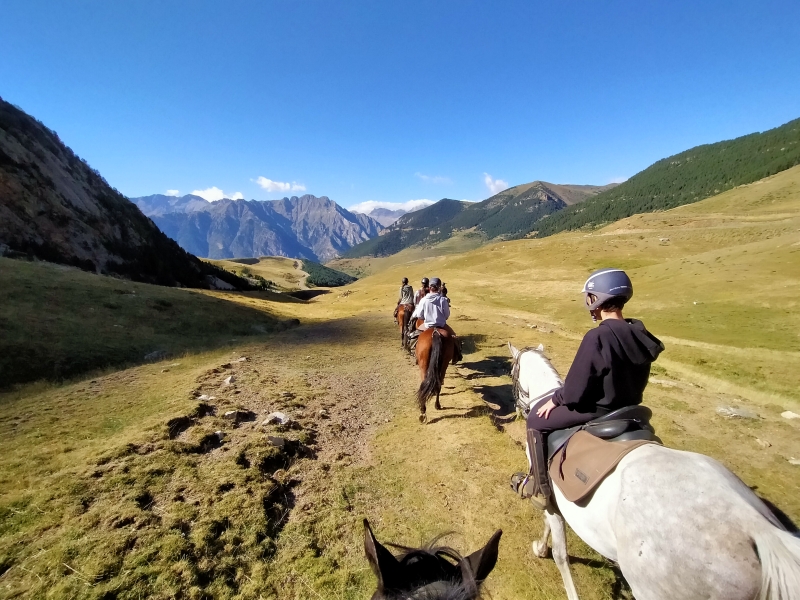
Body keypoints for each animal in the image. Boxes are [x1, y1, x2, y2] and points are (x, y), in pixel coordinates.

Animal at [510, 342, 796, 600]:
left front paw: (542, 549)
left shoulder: (549, 498)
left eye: (512, 373)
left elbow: (559, 550)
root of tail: (759, 529)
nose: (519, 409)